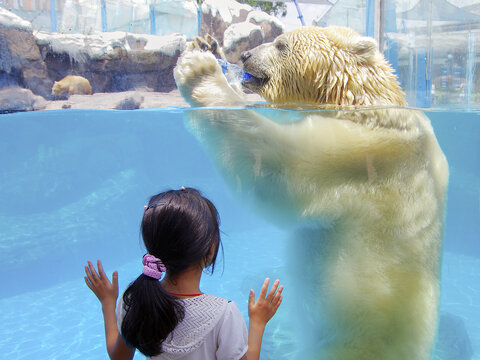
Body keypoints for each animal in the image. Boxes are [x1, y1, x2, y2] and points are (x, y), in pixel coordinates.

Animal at [173, 26, 450, 360]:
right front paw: (207, 46)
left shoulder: (364, 151)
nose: (246, 55)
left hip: (350, 340)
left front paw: (199, 69)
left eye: (281, 44)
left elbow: (278, 163)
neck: (362, 101)